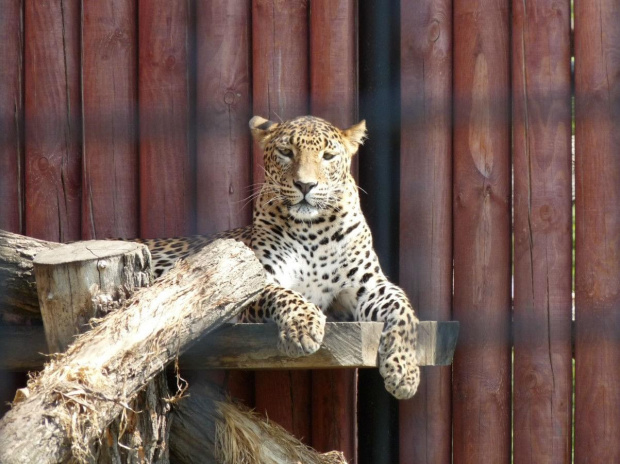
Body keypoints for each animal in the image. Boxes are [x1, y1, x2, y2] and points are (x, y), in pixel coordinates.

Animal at [140, 115, 422, 398]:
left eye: (328, 156)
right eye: (286, 152)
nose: (305, 185)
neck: (314, 231)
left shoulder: (369, 284)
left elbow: (402, 307)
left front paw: (405, 371)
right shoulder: (254, 280)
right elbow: (285, 295)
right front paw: (303, 329)